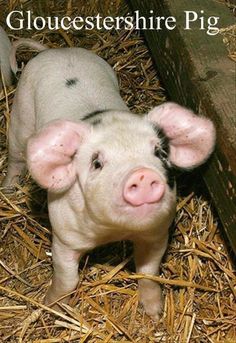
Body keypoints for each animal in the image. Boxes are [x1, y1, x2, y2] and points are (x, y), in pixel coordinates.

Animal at [1, 45, 216, 320]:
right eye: (96, 162)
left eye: (159, 153)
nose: (141, 174)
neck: (112, 232)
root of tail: (59, 50)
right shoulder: (63, 237)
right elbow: (67, 279)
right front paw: (51, 306)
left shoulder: (157, 232)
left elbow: (149, 272)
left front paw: (155, 314)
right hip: (21, 117)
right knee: (16, 156)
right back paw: (8, 189)